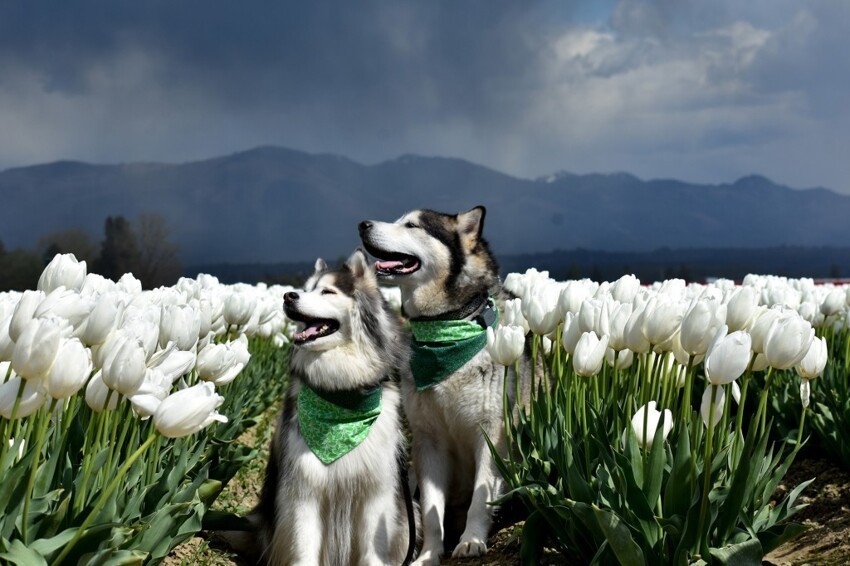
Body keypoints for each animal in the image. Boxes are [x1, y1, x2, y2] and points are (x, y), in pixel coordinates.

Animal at [256, 252, 420, 566]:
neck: (341, 394)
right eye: (306, 288)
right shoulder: (303, 490)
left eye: (327, 292)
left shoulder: (376, 492)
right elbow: (303, 548)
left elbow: (373, 550)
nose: (288, 296)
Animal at [356, 209, 524, 566]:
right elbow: (432, 511)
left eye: (412, 225)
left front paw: (471, 541)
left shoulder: (491, 436)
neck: (447, 324)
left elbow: (480, 498)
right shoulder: (428, 442)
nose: (363, 224)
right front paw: (428, 555)